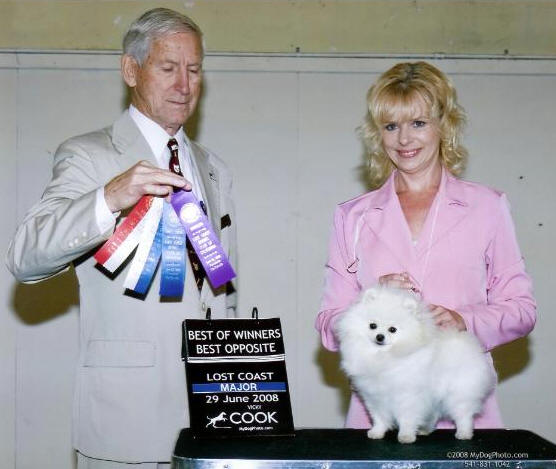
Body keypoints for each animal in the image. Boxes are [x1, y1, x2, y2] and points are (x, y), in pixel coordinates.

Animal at [335, 286, 495, 443]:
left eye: (392, 329)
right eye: (372, 325)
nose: (380, 337)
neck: (384, 356)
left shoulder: (408, 396)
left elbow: (406, 418)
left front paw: (406, 436)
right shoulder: (374, 396)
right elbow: (379, 417)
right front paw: (377, 432)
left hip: (459, 393)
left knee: (463, 415)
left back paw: (463, 433)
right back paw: (425, 430)